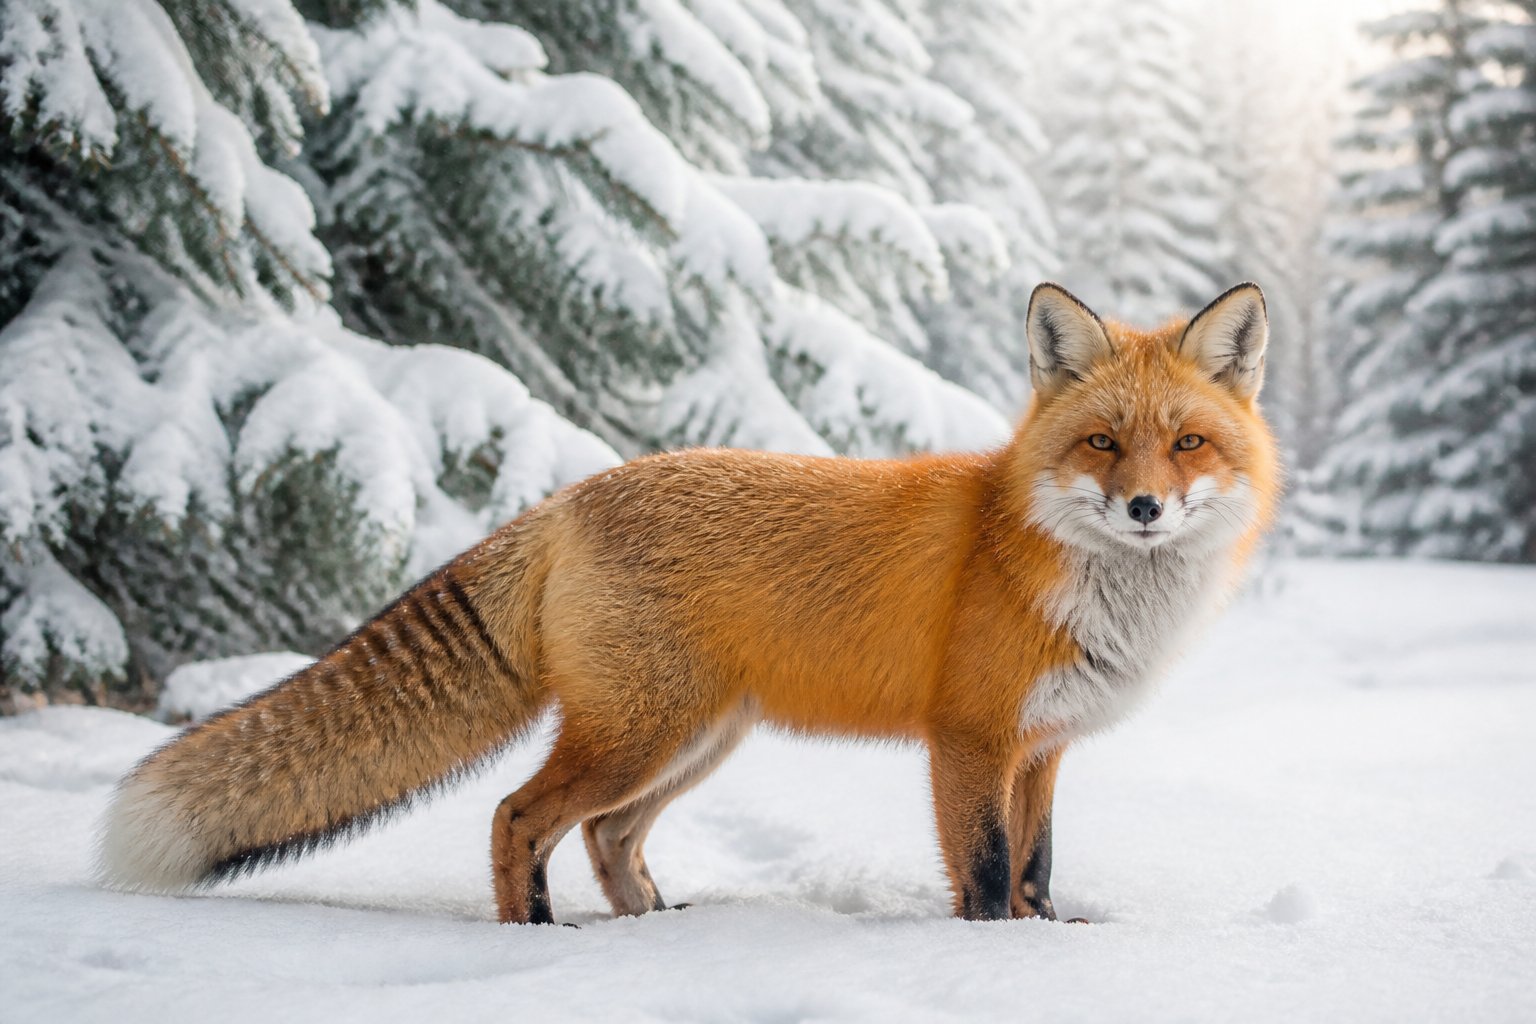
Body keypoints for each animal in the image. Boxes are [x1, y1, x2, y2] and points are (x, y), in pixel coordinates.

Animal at [97, 282, 1280, 925]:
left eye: (1187, 443)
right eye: (1102, 442)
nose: (1143, 507)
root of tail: (569, 495)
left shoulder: (1041, 750)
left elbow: (1036, 870)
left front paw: (1050, 939)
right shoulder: (970, 741)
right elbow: (987, 876)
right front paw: (993, 957)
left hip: (694, 739)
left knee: (607, 837)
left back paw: (657, 934)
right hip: (643, 732)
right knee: (518, 815)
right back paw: (537, 935)